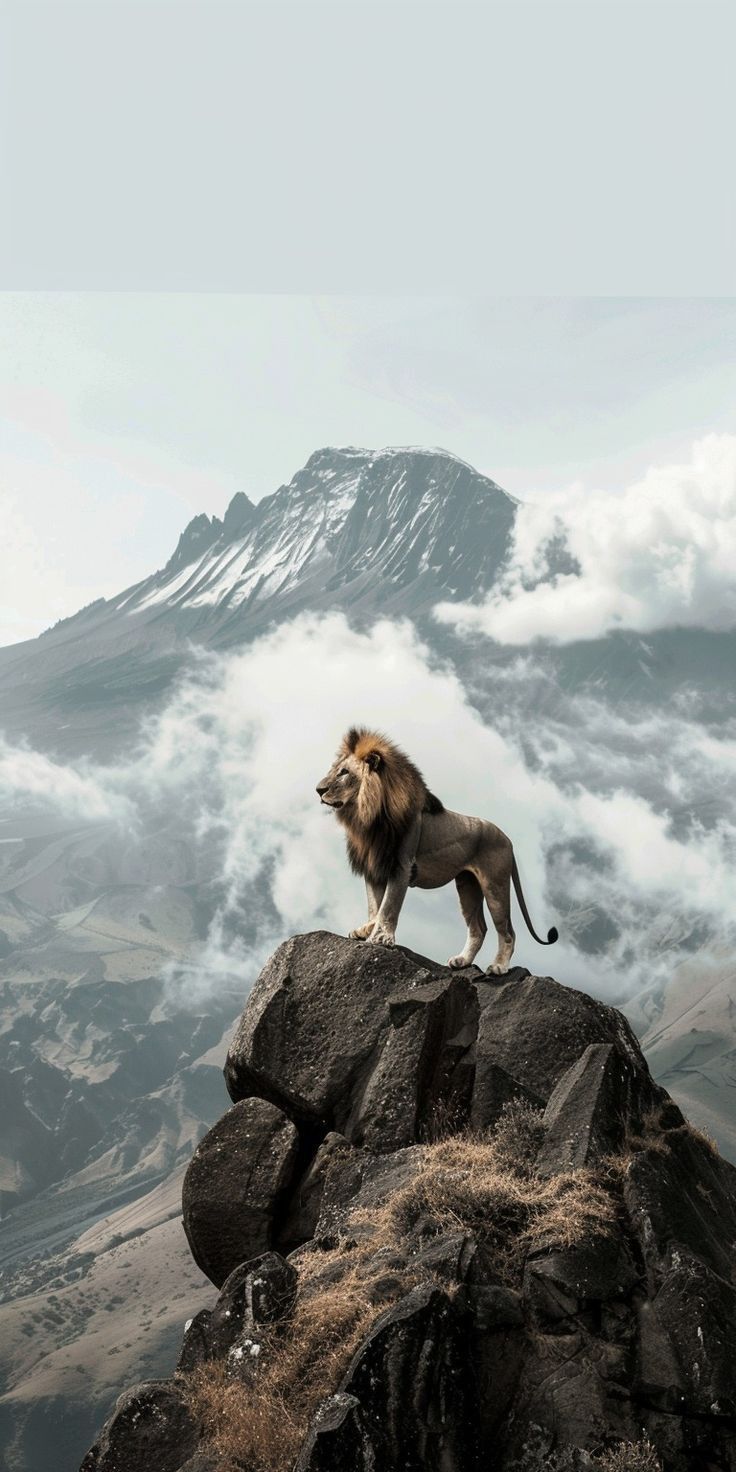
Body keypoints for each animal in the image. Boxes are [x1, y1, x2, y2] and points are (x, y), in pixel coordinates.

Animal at [315, 727, 556, 977]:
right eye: (334, 769)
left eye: (343, 773)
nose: (318, 790)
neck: (368, 815)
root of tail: (508, 839)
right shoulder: (375, 867)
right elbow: (375, 905)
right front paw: (366, 929)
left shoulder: (401, 865)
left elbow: (388, 906)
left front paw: (380, 937)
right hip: (468, 885)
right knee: (478, 928)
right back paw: (462, 961)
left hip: (495, 884)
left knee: (507, 931)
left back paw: (498, 966)